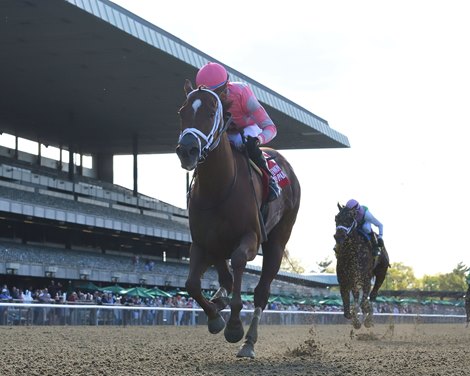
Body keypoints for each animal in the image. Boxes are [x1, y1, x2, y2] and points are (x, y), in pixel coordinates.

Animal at [174, 81, 300, 356]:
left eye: (211, 113)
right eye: (181, 112)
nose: (187, 150)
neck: (218, 188)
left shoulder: (250, 237)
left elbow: (239, 262)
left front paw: (233, 326)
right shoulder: (202, 242)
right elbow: (192, 284)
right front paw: (215, 317)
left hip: (278, 240)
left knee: (262, 291)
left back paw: (249, 341)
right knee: (224, 277)